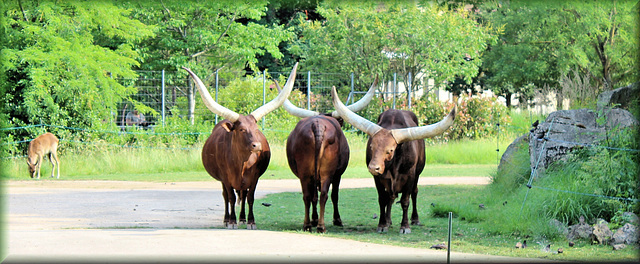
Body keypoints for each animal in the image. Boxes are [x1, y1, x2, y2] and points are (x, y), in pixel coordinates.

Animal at [181, 62, 298, 229]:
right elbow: (230, 197)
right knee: (226, 196)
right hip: (223, 181)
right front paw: (231, 221)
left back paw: (242, 218)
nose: (257, 146)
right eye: (242, 129)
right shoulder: (226, 178)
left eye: (256, 129)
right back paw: (226, 219)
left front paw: (250, 221)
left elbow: (250, 197)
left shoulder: (254, 177)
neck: (242, 163)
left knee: (242, 195)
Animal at [278, 77, 378, 232]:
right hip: (327, 172)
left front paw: (314, 219)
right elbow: (334, 195)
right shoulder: (337, 175)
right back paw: (321, 226)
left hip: (305, 173)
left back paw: (308, 224)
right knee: (325, 194)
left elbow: (314, 196)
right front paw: (336, 220)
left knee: (308, 195)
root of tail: (318, 125)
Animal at [330, 86, 456, 233]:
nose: (373, 167)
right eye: (371, 146)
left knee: (414, 193)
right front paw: (382, 224)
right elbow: (382, 200)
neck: (393, 166)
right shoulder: (378, 178)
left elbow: (405, 201)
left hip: (418, 174)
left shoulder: (410, 176)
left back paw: (415, 219)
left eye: (390, 150)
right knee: (390, 197)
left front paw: (405, 226)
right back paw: (388, 221)